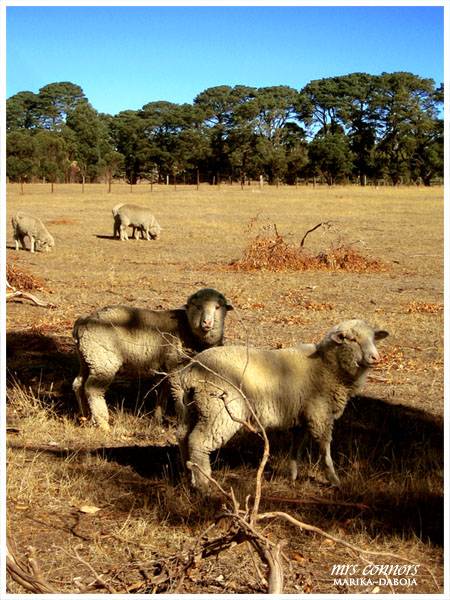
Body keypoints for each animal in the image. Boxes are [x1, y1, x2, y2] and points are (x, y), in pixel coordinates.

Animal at [72, 288, 234, 428]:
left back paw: (85, 416)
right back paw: (103, 423)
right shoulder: (175, 365)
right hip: (103, 360)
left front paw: (158, 417)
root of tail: (83, 321)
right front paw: (181, 418)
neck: (187, 327)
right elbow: (177, 392)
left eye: (218, 307)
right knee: (92, 389)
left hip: (87, 358)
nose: (207, 323)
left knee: (78, 384)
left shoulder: (167, 367)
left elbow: (165, 391)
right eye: (198, 307)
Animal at [178, 318, 388, 492]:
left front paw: (292, 473)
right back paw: (203, 484)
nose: (376, 358)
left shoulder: (303, 415)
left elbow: (297, 444)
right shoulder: (320, 414)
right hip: (218, 410)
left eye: (373, 338)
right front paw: (333, 479)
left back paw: (188, 476)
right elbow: (324, 448)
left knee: (183, 437)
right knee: (198, 441)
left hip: (197, 408)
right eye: (352, 339)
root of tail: (192, 370)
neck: (328, 366)